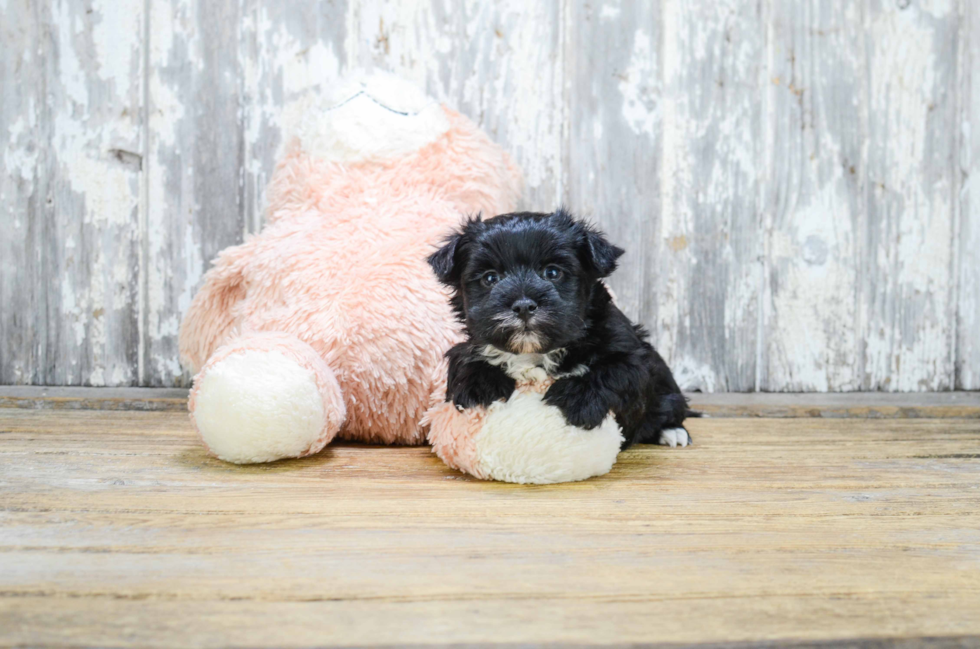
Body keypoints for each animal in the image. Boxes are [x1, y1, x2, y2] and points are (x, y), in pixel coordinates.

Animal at [428, 210, 696, 448]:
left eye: (553, 272)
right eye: (490, 278)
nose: (523, 306)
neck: (533, 353)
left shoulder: (633, 354)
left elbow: (614, 371)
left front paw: (577, 399)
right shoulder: (469, 346)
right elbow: (467, 360)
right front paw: (479, 388)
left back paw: (672, 431)